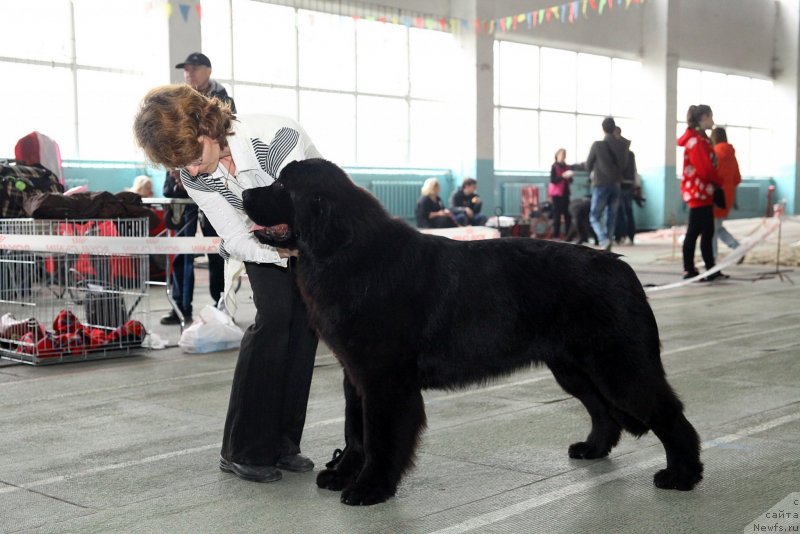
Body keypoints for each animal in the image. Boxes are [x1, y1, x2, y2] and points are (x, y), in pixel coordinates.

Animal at [241, 159, 704, 506]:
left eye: (282, 185)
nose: (243, 195)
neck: (343, 252)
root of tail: (624, 268)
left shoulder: (384, 377)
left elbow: (381, 435)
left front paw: (370, 488)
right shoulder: (355, 374)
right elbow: (356, 432)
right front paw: (342, 474)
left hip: (618, 365)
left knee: (668, 413)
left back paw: (681, 475)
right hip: (575, 368)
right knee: (603, 411)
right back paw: (592, 449)